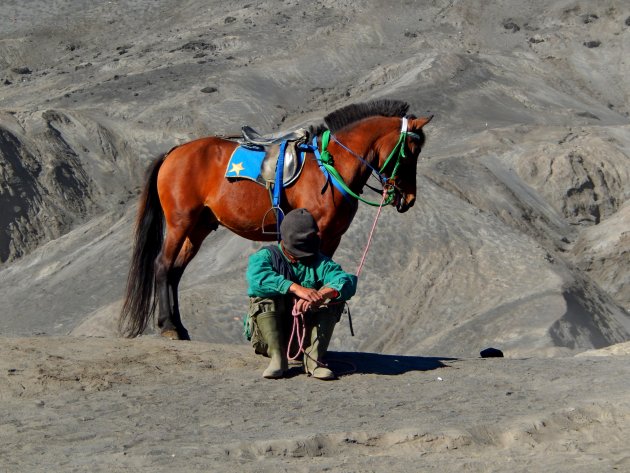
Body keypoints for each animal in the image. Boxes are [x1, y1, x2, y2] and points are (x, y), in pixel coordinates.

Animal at [118, 98, 434, 340]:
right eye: (411, 152)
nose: (409, 199)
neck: (331, 167)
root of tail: (174, 153)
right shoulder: (317, 234)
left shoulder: (332, 237)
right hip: (180, 223)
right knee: (163, 265)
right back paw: (168, 326)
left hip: (199, 227)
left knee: (176, 271)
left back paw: (180, 326)